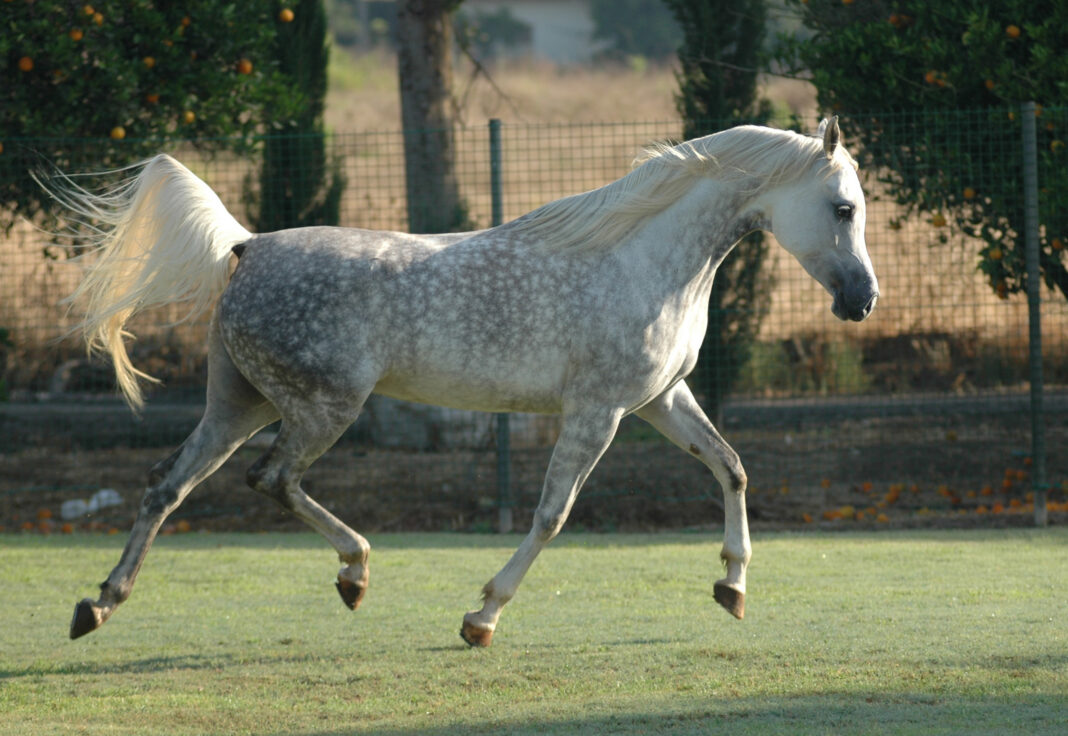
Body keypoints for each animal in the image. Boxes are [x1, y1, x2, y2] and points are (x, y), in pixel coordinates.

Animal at [52, 114, 875, 640]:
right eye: (842, 208)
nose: (863, 301)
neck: (642, 260)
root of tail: (246, 246)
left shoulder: (660, 400)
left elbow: (732, 468)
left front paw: (732, 588)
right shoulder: (598, 411)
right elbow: (551, 515)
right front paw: (482, 617)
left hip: (240, 402)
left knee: (167, 483)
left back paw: (98, 605)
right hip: (322, 408)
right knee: (271, 479)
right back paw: (354, 573)